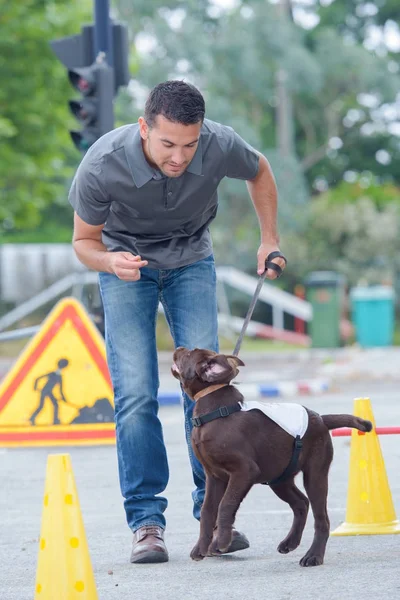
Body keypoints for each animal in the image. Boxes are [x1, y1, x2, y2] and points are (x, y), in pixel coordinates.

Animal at [171, 346, 372, 568]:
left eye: (189, 354)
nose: (178, 348)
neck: (214, 413)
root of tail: (321, 419)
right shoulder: (214, 477)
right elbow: (208, 511)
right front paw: (201, 548)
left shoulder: (244, 471)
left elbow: (226, 505)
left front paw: (221, 542)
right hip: (279, 478)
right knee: (301, 503)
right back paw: (290, 542)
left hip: (315, 474)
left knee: (321, 518)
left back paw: (313, 556)